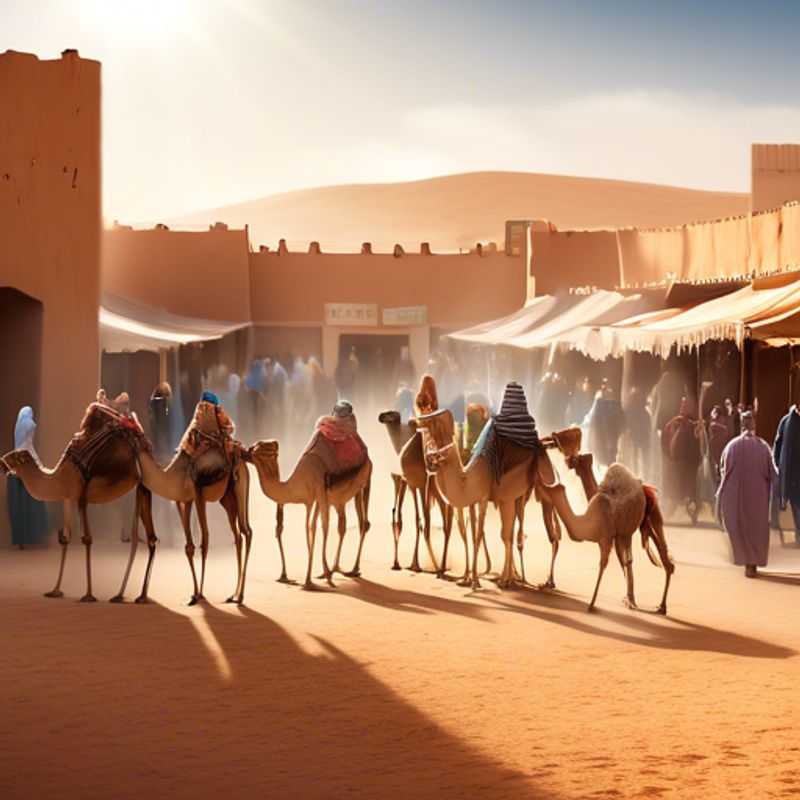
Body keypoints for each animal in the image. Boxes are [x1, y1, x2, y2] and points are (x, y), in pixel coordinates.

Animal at [1, 410, 158, 604]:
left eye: (15, 456)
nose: (1, 462)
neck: (58, 476)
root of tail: (145, 445)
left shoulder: (81, 496)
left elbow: (87, 539)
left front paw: (88, 595)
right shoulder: (67, 498)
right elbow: (65, 538)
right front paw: (55, 590)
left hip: (142, 483)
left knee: (143, 536)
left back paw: (135, 596)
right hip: (140, 487)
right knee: (143, 537)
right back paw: (127, 595)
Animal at [247, 438, 372, 588]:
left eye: (260, 446)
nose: (245, 451)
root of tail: (368, 457)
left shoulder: (319, 492)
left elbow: (322, 527)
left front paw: (320, 579)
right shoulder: (311, 500)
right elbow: (311, 528)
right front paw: (312, 578)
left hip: (365, 481)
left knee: (363, 523)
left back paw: (352, 569)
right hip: (342, 498)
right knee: (344, 525)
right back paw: (337, 568)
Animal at [416, 410, 560, 592]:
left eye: (439, 455)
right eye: (429, 450)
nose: (429, 463)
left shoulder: (484, 498)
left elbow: (479, 536)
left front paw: (477, 582)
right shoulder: (474, 501)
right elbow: (472, 535)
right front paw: (468, 579)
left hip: (540, 489)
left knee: (550, 535)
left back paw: (543, 581)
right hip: (516, 498)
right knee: (513, 533)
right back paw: (516, 578)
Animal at [540, 428, 680, 608]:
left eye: (578, 459)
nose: (568, 461)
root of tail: (645, 488)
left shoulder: (610, 536)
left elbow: (610, 562)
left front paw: (594, 603)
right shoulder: (618, 534)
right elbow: (625, 562)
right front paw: (628, 599)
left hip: (650, 520)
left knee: (664, 558)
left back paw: (661, 606)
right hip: (641, 524)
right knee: (657, 558)